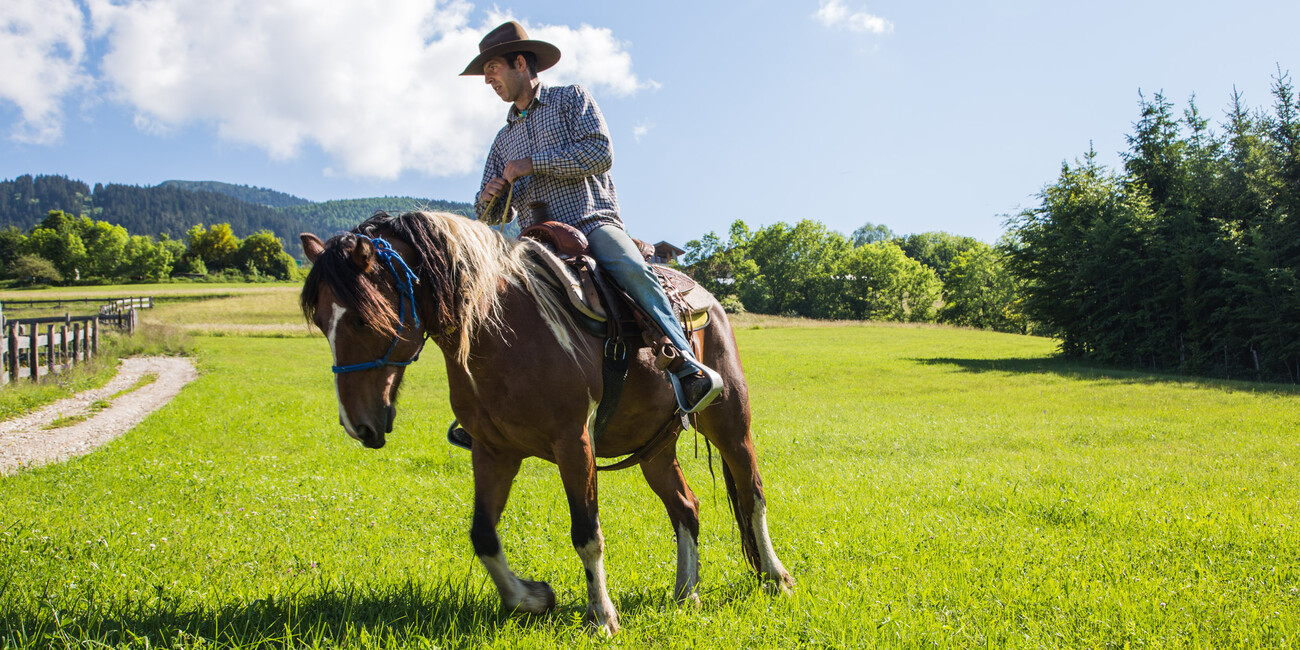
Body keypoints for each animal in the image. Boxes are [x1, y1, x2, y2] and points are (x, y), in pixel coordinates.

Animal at [300, 210, 795, 631]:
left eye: (363, 319)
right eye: (322, 321)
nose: (357, 425)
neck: (499, 329)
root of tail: (704, 297)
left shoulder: (574, 443)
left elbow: (587, 533)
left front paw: (602, 617)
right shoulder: (493, 451)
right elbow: (483, 535)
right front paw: (532, 597)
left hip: (730, 421)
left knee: (751, 493)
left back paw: (776, 577)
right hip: (654, 450)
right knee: (686, 508)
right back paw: (685, 592)